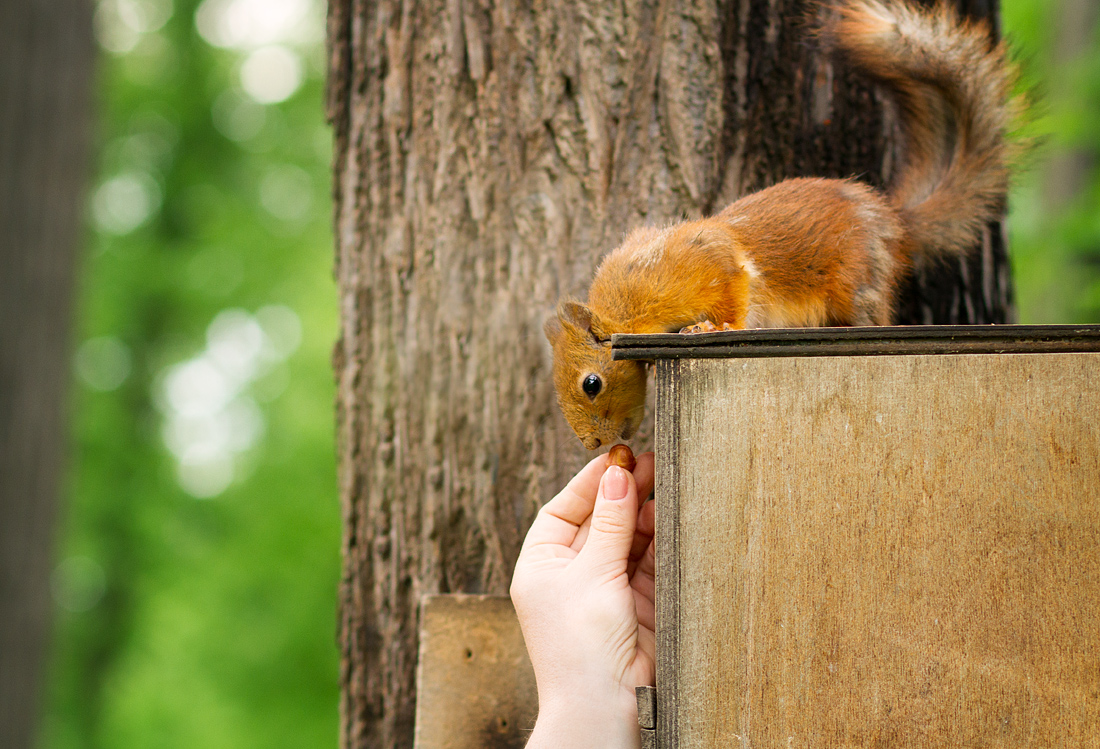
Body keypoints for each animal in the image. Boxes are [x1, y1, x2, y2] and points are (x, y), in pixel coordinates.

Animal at [545, 0, 1016, 446]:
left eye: (591, 384)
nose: (593, 444)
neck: (630, 303)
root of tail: (892, 221)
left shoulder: (708, 260)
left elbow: (736, 288)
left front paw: (714, 326)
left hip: (857, 283)